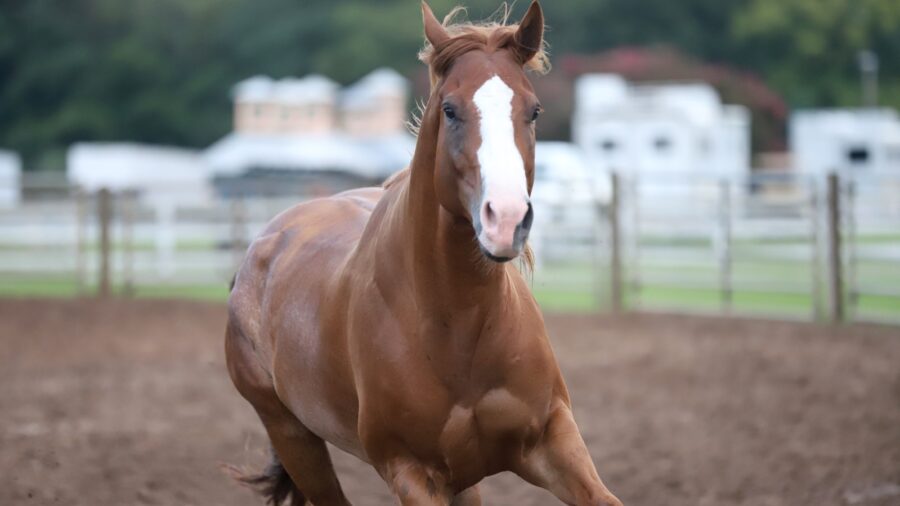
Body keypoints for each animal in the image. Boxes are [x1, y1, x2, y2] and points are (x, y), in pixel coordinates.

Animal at [225, 2, 622, 505]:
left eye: (534, 110)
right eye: (450, 110)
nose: (506, 218)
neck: (459, 328)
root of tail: (262, 248)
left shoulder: (552, 441)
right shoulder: (411, 472)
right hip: (294, 437)